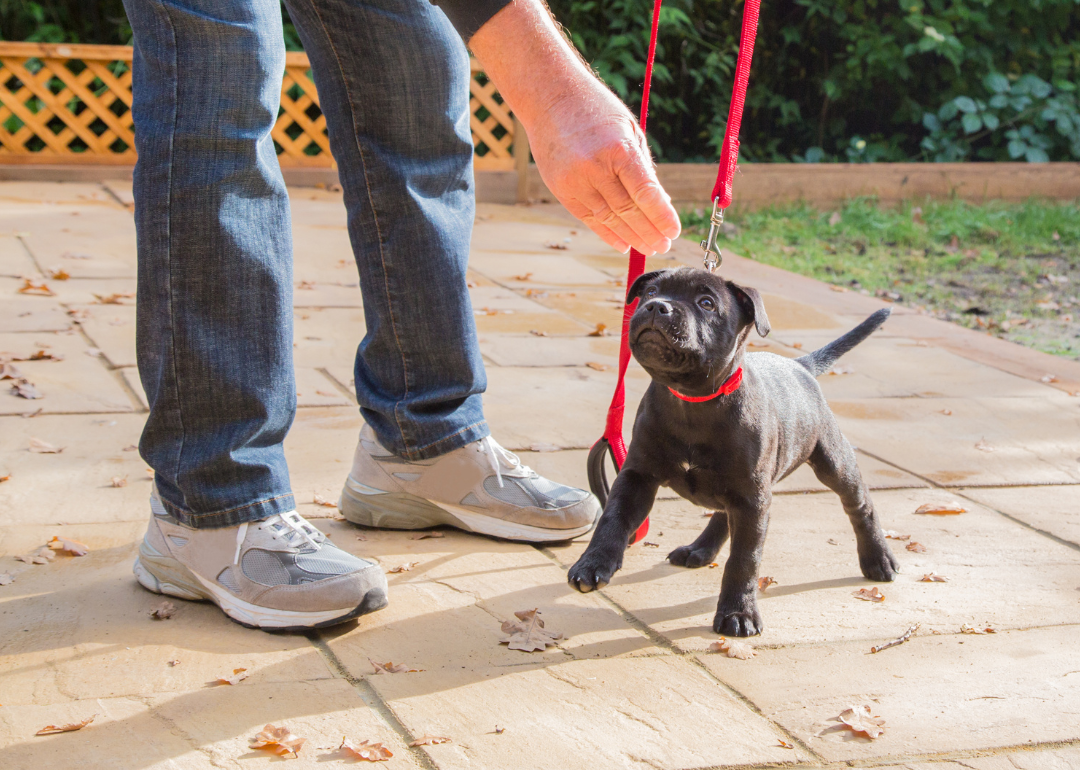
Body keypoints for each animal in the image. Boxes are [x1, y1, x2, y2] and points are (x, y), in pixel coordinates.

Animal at [570, 267, 898, 635]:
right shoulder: (637, 475)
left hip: (832, 462)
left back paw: (878, 559)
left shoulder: (753, 499)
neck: (692, 400)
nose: (657, 307)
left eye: (706, 303)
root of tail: (800, 366)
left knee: (859, 505)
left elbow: (744, 559)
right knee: (723, 513)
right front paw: (593, 563)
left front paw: (738, 612)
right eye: (651, 291)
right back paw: (699, 549)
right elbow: (613, 518)